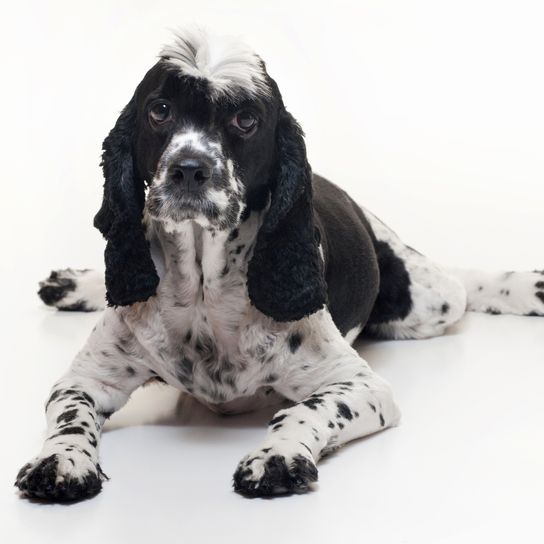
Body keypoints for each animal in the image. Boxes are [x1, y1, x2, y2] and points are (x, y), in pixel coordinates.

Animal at [13, 26, 544, 502]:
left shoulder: (361, 385)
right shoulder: (86, 378)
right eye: (159, 111)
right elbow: (70, 416)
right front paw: (60, 461)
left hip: (427, 302)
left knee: (462, 284)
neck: (202, 288)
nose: (189, 170)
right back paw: (71, 286)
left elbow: (303, 410)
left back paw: (523, 286)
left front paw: (277, 456)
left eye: (246, 120)